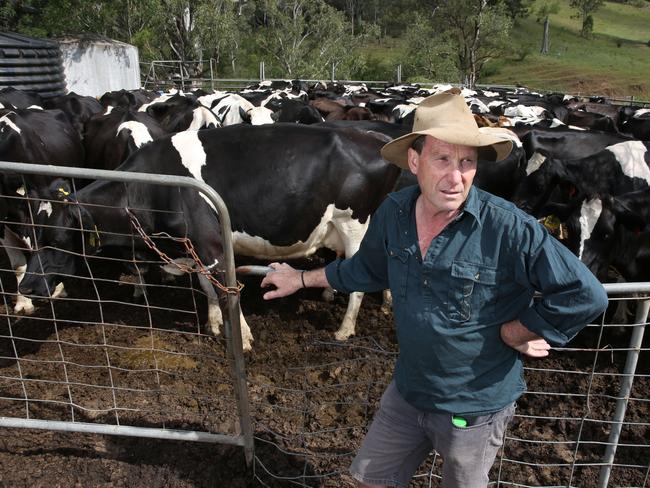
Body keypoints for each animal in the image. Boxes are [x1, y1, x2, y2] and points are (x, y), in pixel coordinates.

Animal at [20, 124, 398, 348]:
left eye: (57, 239)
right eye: (34, 236)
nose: (26, 286)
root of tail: (375, 139)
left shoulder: (211, 243)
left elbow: (227, 290)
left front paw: (242, 338)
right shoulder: (194, 248)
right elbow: (206, 287)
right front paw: (214, 324)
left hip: (355, 225)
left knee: (360, 283)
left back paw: (345, 330)